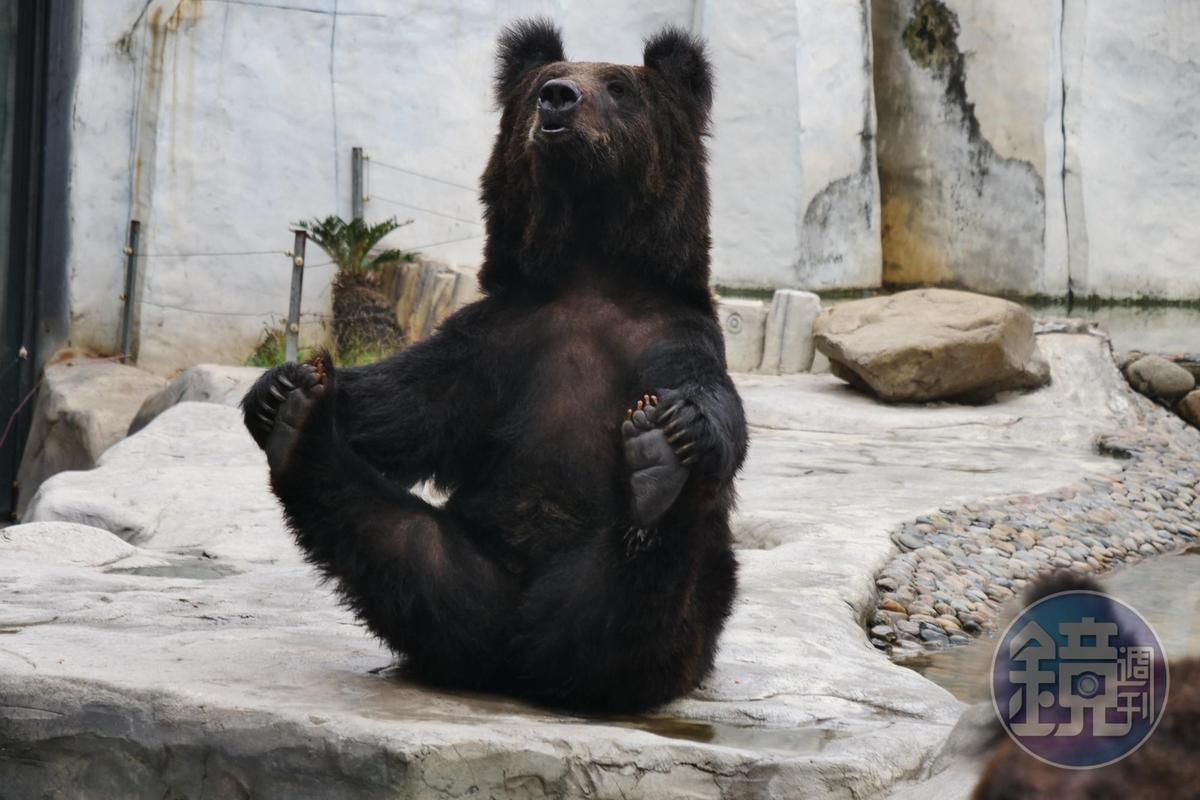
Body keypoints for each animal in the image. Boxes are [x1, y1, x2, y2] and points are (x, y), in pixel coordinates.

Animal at [240, 18, 744, 714]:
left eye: (618, 87)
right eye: (543, 81)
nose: (558, 100)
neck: (590, 266)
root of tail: (519, 656)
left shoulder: (666, 332)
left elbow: (709, 399)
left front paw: (676, 424)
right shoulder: (501, 336)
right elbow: (411, 399)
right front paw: (276, 384)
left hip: (675, 613)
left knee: (652, 597)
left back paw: (656, 477)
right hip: (462, 559)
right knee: (389, 538)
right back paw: (297, 422)